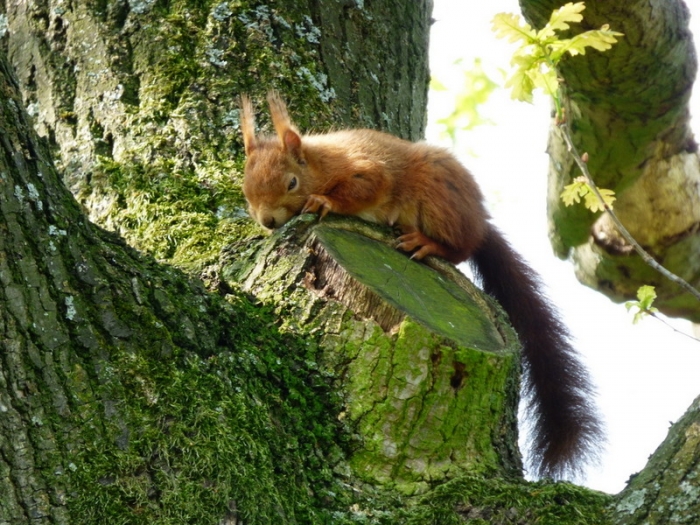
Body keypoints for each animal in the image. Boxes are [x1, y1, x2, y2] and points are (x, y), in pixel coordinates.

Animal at [239, 91, 603, 479]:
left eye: (291, 183)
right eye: (245, 190)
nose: (268, 221)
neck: (321, 163)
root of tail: (478, 220)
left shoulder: (367, 170)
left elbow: (365, 188)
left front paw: (324, 201)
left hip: (436, 196)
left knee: (461, 248)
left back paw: (426, 244)